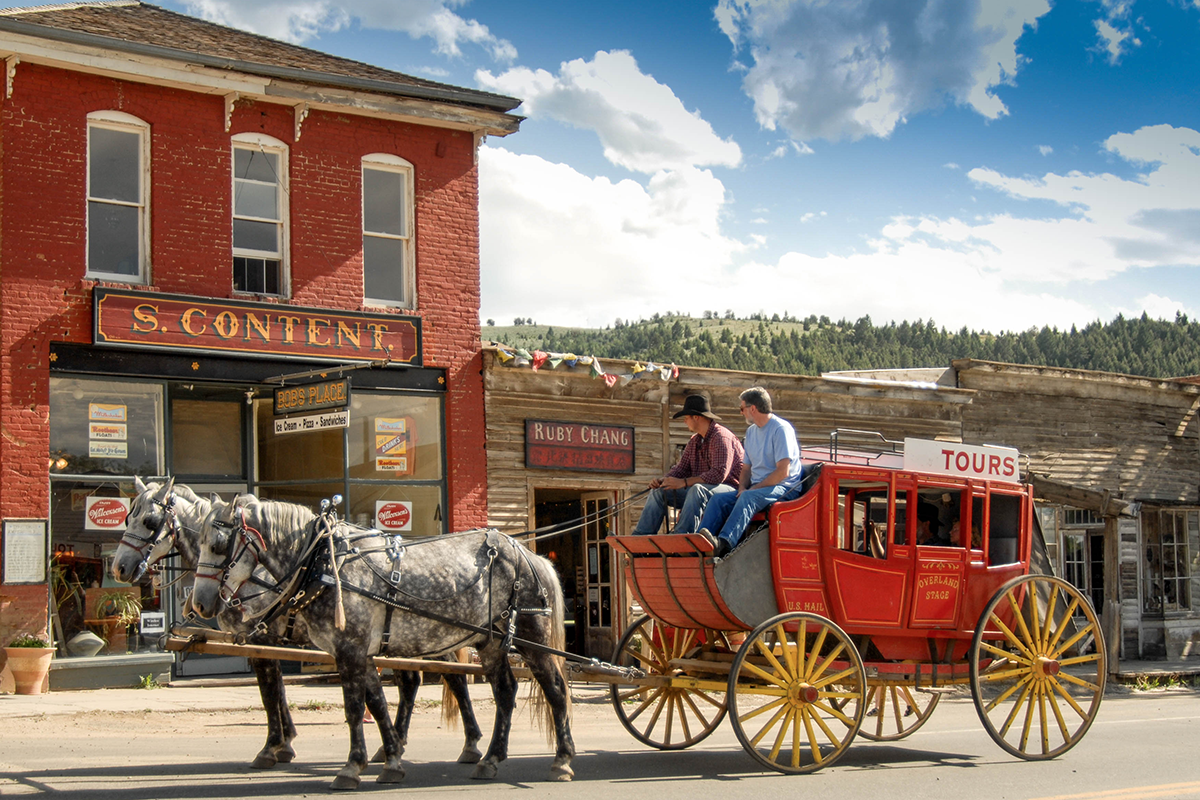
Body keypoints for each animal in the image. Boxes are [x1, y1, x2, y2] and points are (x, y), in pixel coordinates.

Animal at [111, 479, 482, 772]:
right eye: (127, 517)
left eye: (149, 521)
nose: (119, 568)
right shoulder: (265, 641)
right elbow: (278, 692)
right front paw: (285, 742)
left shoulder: (260, 639)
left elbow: (269, 693)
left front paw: (272, 746)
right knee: (412, 682)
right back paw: (397, 744)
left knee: (451, 679)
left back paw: (469, 743)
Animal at [189, 494, 573, 786]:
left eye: (219, 544)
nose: (201, 603)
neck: (322, 561)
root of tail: (529, 554)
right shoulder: (359, 652)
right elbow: (375, 702)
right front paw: (390, 760)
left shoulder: (349, 649)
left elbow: (353, 707)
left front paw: (350, 767)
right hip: (489, 640)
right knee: (505, 691)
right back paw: (491, 758)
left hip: (530, 633)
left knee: (555, 690)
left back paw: (562, 760)